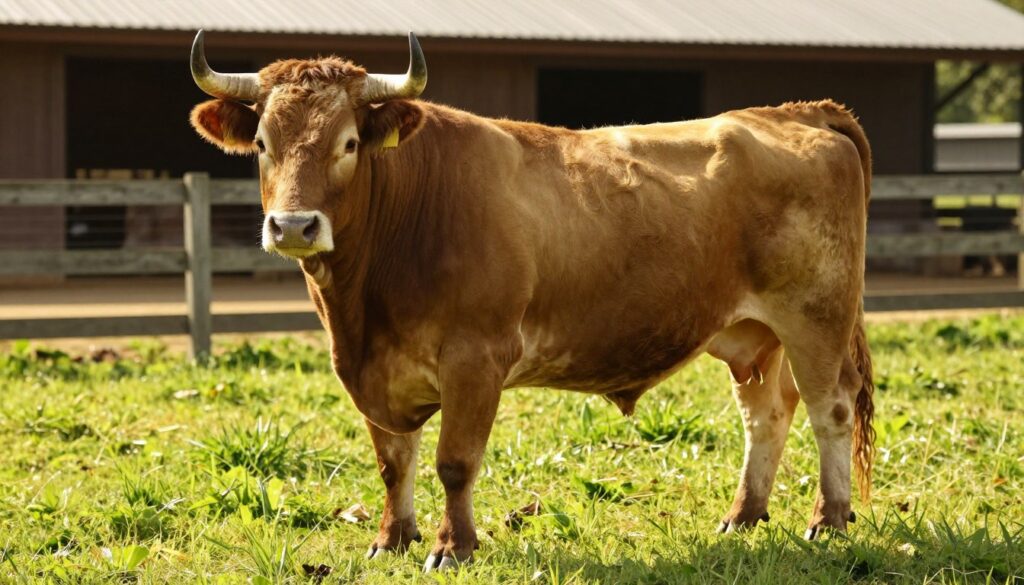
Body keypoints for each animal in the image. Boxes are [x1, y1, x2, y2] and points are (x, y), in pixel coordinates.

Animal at [188, 30, 875, 571]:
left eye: (350, 143)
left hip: (816, 316)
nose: (293, 226)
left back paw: (829, 519)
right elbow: (393, 460)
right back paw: (744, 515)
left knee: (830, 409)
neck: (364, 307)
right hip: (752, 333)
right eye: (262, 145)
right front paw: (392, 539)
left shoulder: (476, 357)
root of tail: (795, 112)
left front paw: (452, 547)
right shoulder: (368, 368)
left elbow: (455, 461)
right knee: (767, 414)